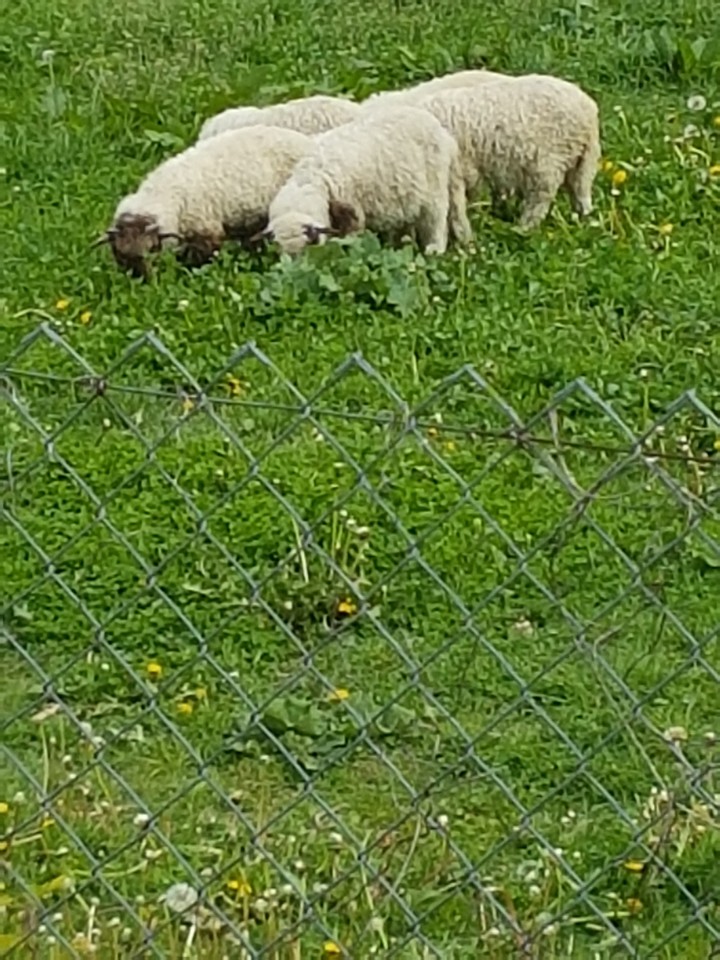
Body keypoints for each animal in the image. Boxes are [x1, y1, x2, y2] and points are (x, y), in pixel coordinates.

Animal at [96, 125, 315, 277]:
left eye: (150, 250)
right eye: (120, 254)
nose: (140, 280)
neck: (162, 193)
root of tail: (305, 140)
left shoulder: (205, 231)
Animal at [262, 106, 472, 257]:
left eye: (309, 247)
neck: (313, 179)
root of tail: (442, 131)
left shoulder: (353, 213)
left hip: (434, 186)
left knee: (437, 217)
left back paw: (435, 249)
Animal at [367, 74, 601, 229]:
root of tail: (589, 110)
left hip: (549, 162)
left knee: (541, 196)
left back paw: (523, 227)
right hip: (580, 162)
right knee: (580, 192)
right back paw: (583, 219)